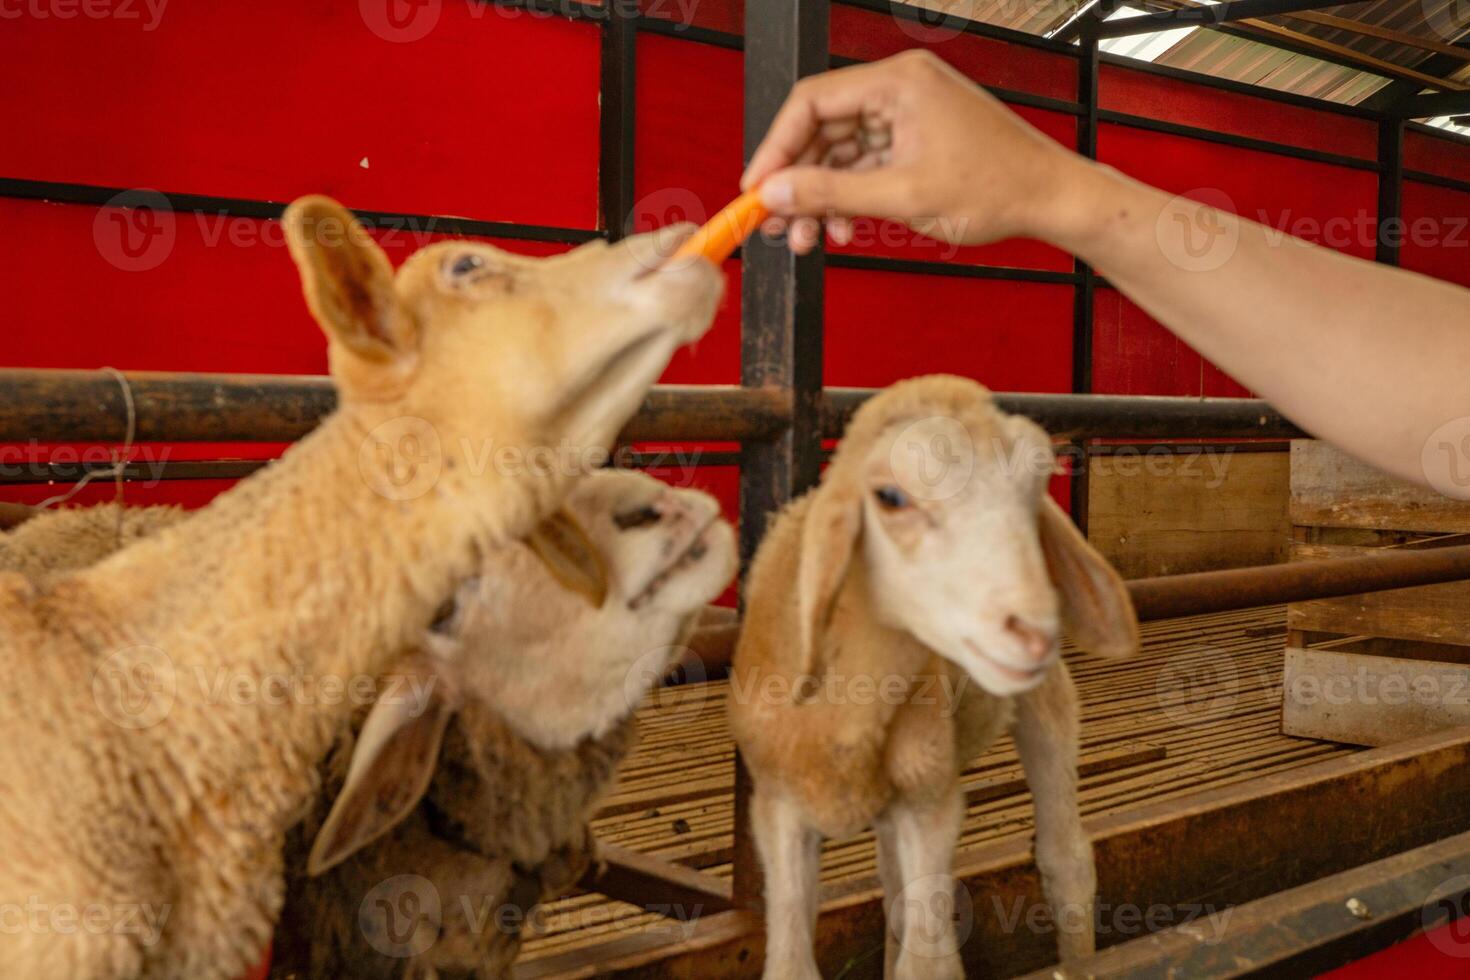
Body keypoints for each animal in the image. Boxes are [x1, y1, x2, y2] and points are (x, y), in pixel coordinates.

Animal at [729, 373, 1140, 980]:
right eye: (890, 497)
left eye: (1036, 487)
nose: (1035, 630)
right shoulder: (778, 807)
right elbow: (792, 965)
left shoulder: (931, 804)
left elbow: (927, 964)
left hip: (1043, 704)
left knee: (1065, 858)